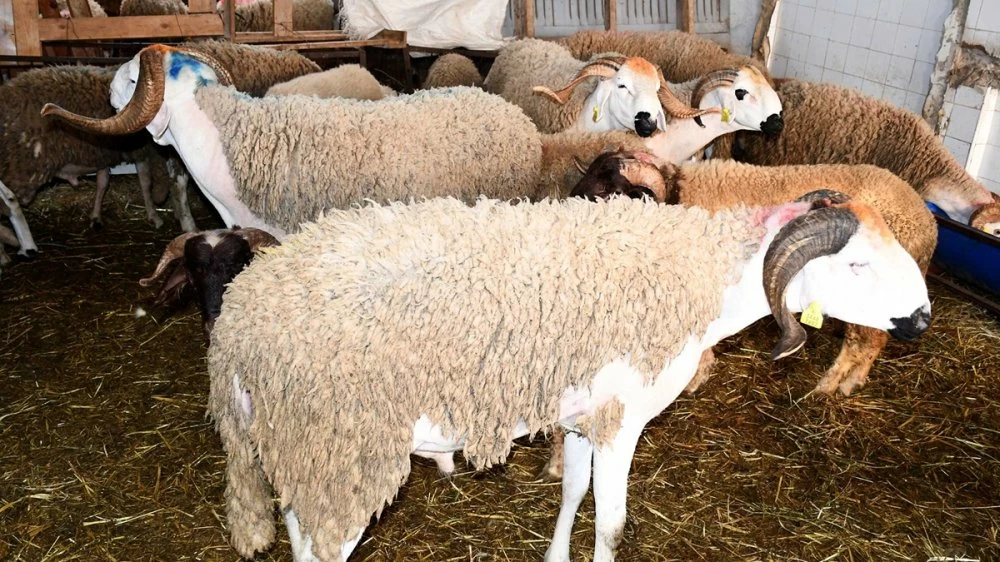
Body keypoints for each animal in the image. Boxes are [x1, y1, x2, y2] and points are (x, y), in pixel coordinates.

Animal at [207, 194, 931, 562]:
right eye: (858, 264)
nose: (923, 319)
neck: (702, 276)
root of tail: (236, 329)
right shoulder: (620, 418)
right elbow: (611, 523)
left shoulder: (583, 416)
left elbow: (574, 495)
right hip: (342, 455)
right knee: (325, 545)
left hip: (302, 453)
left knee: (298, 532)